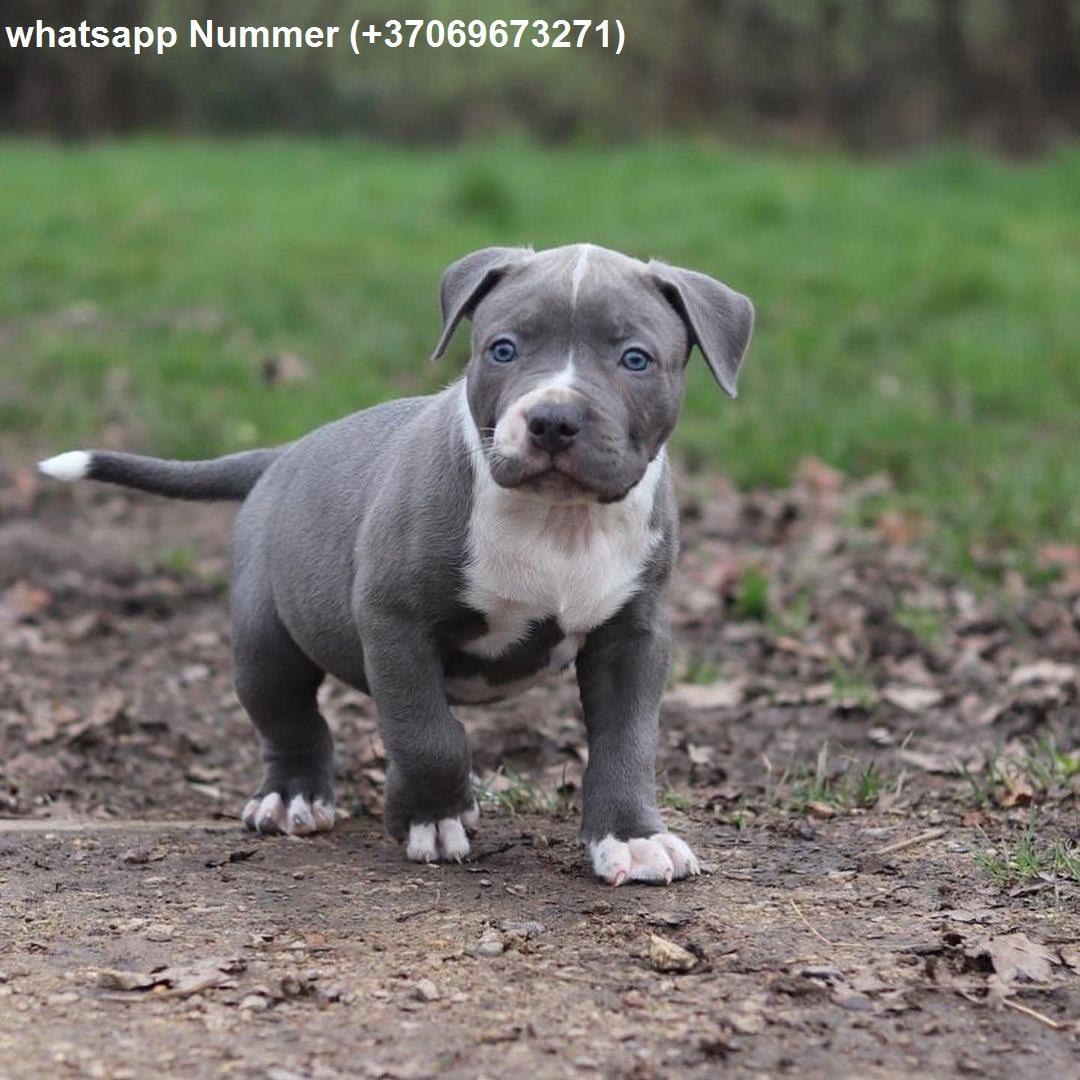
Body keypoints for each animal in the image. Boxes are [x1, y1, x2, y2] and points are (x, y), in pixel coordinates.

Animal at [39, 244, 754, 885]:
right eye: (502, 350)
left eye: (636, 359)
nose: (552, 420)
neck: (558, 523)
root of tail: (283, 453)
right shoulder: (394, 620)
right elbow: (426, 733)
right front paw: (431, 819)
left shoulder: (634, 633)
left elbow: (626, 741)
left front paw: (632, 838)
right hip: (265, 635)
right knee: (288, 714)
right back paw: (293, 796)